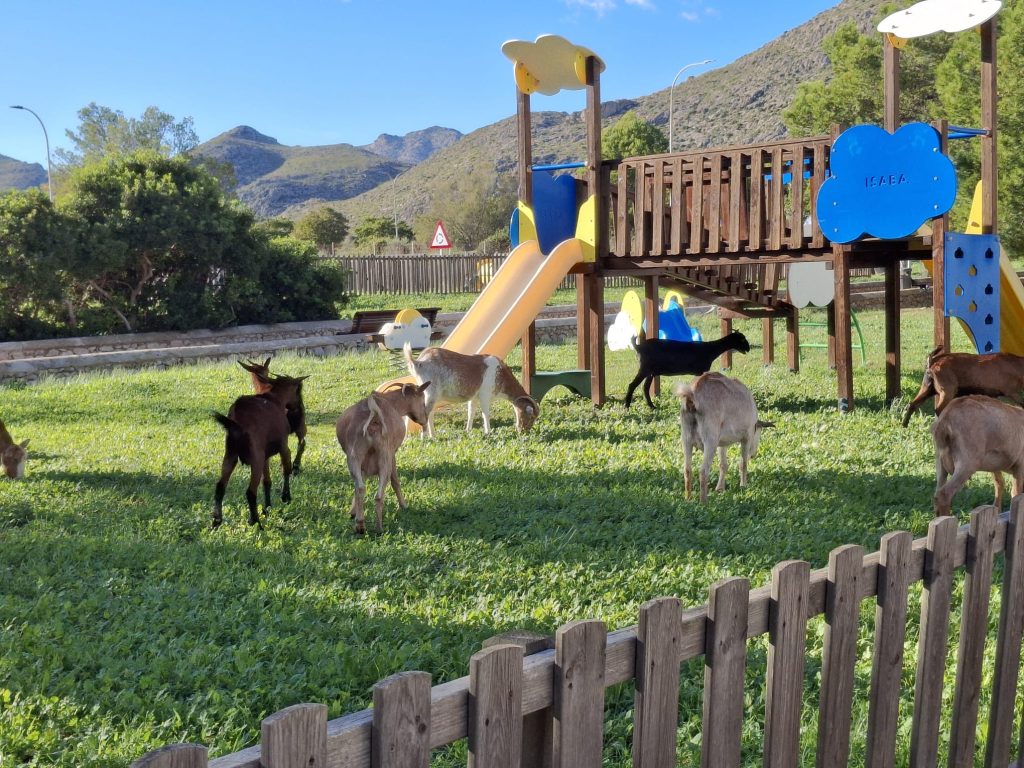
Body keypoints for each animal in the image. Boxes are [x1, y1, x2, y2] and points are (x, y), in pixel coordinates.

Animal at [212, 372, 308, 529]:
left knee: (220, 486)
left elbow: (267, 481)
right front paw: (286, 497)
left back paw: (216, 521)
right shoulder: (283, 447)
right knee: (250, 491)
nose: (299, 406)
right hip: (254, 458)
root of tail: (235, 421)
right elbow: (286, 470)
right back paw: (255, 522)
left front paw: (267, 507)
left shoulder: (265, 456)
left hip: (230, 455)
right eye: (298, 391)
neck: (275, 400)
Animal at [336, 381, 431, 534]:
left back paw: (360, 525)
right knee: (379, 495)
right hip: (384, 458)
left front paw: (353, 512)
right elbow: (395, 480)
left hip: (354, 457)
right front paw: (404, 505)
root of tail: (374, 419)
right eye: (422, 400)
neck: (392, 402)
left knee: (360, 488)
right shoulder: (393, 454)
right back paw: (379, 528)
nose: (425, 420)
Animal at [403, 344, 539, 437]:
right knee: (424, 412)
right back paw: (424, 437)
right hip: (431, 392)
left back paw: (432, 436)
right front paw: (488, 432)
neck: (500, 373)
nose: (524, 431)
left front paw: (468, 430)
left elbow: (471, 412)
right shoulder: (485, 394)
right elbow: (485, 413)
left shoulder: (474, 397)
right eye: (531, 417)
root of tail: (418, 362)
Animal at [674, 372, 774, 502]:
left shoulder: (721, 443)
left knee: (687, 470)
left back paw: (688, 499)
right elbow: (743, 463)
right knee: (703, 471)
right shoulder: (746, 437)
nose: (753, 454)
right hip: (710, 441)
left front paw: (720, 488)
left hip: (686, 439)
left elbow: (723, 465)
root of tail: (692, 396)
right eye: (759, 434)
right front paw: (743, 485)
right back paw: (703, 502)